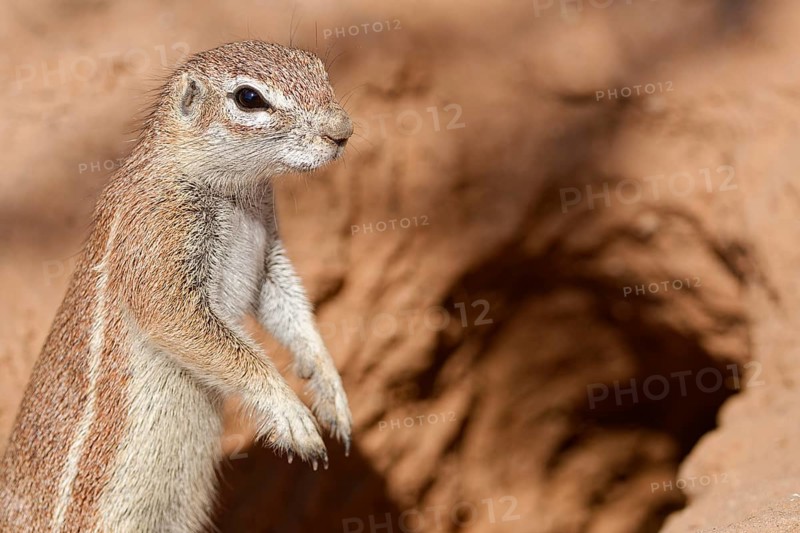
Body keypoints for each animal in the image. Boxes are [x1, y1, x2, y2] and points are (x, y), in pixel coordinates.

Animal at [0, 40, 353, 532]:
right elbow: (185, 325)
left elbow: (289, 308)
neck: (233, 192)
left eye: (317, 66)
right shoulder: (159, 240)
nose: (343, 132)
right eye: (249, 98)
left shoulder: (269, 256)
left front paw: (328, 386)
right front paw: (290, 414)